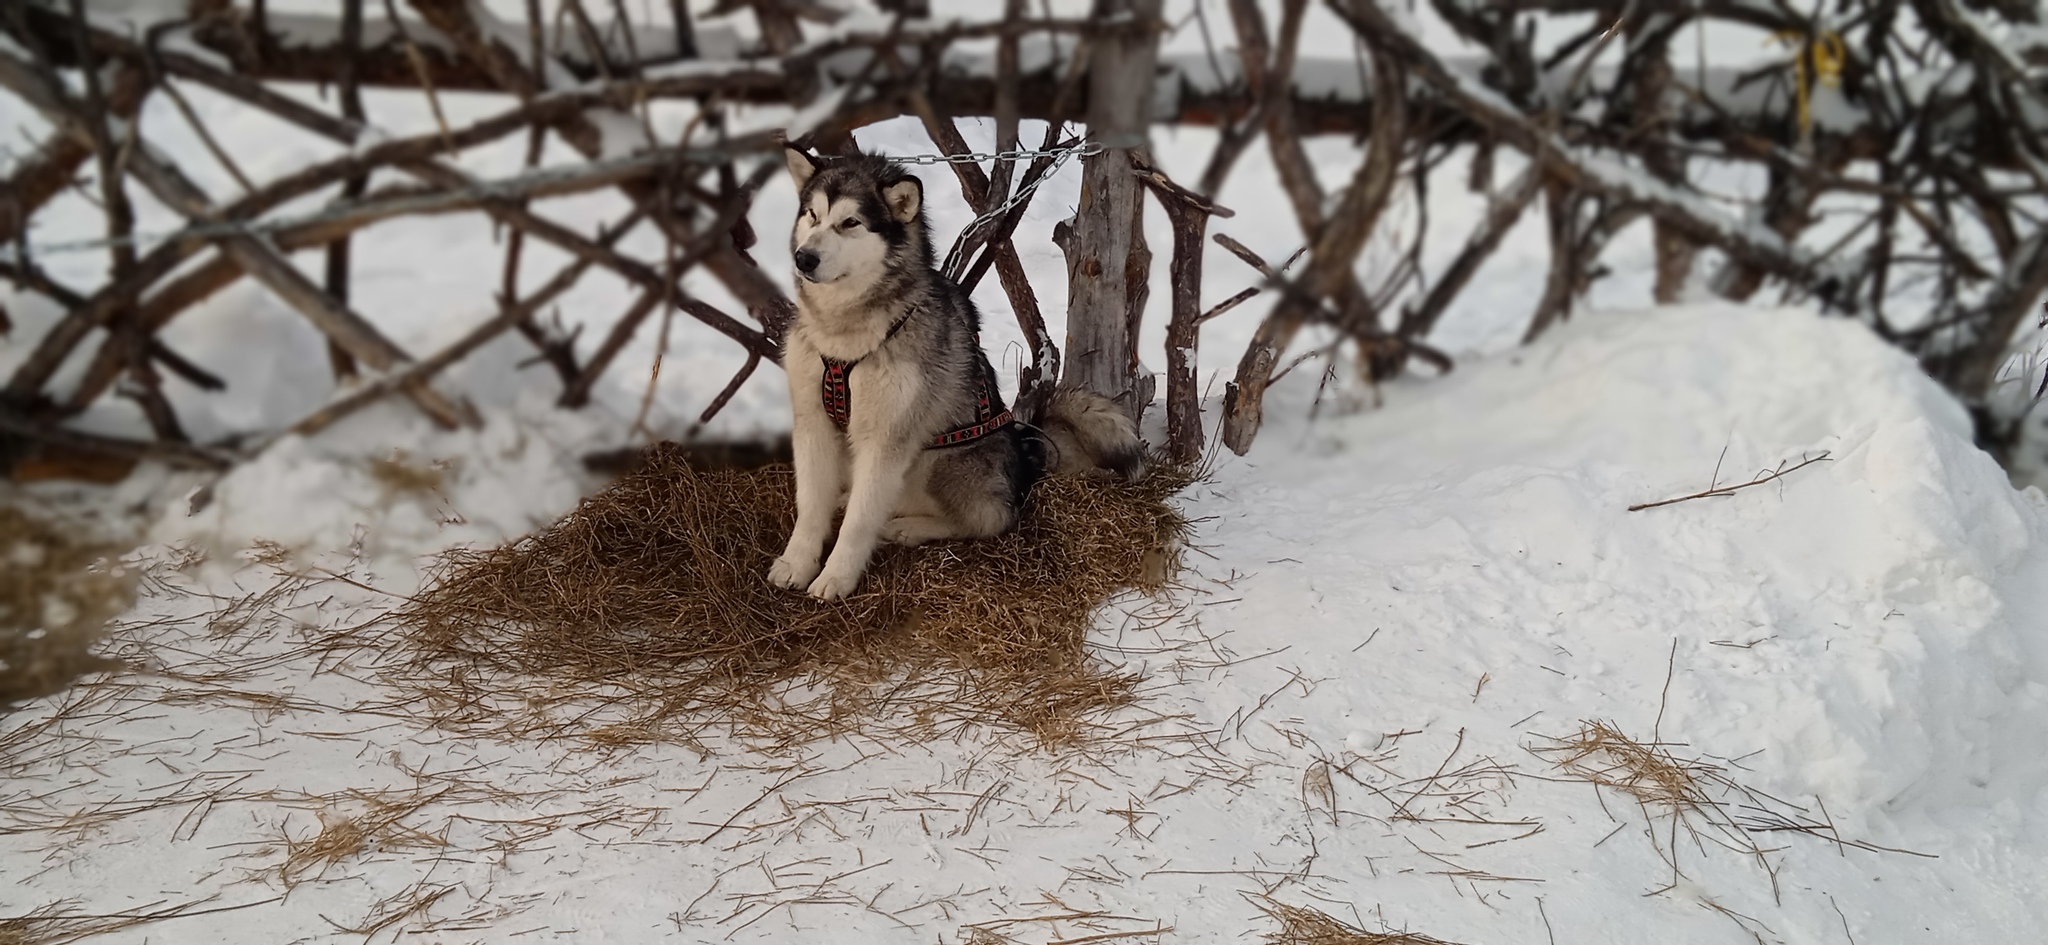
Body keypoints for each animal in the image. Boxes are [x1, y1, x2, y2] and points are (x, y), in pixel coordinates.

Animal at [770, 150, 1146, 598]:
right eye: (812, 214)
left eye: (850, 222)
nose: (803, 258)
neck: (844, 336)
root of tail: (1026, 455)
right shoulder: (812, 421)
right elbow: (810, 505)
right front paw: (797, 562)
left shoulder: (886, 437)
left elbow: (860, 522)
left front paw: (836, 576)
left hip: (939, 460)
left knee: (989, 518)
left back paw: (906, 528)